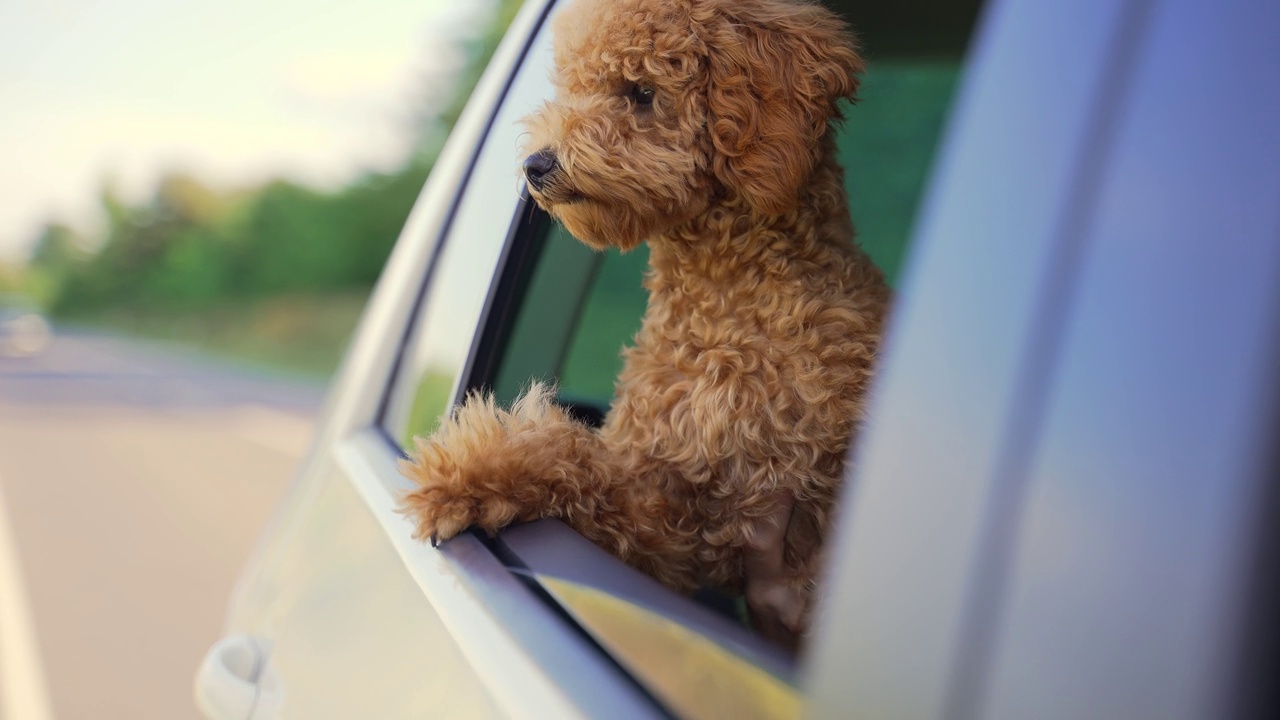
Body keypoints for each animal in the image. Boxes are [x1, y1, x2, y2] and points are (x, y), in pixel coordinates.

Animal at [399, 0, 890, 645]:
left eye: (640, 91)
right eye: (573, 87)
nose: (535, 164)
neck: (724, 305)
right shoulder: (671, 517)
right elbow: (574, 458)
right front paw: (465, 473)